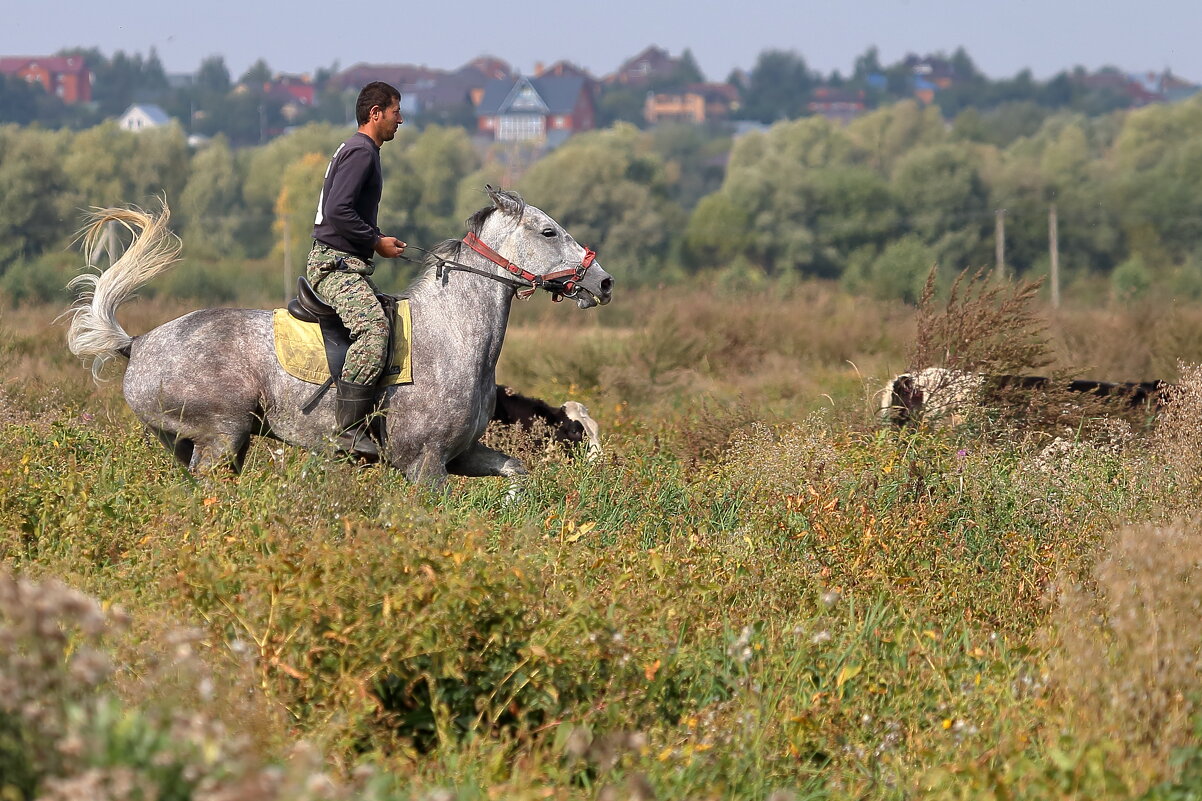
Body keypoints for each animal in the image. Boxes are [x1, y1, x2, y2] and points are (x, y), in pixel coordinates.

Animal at [63, 190, 610, 483]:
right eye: (548, 231)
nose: (602, 282)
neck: (458, 335)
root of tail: (137, 345)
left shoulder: (464, 456)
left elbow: (518, 475)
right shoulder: (425, 465)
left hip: (196, 444)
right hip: (222, 437)